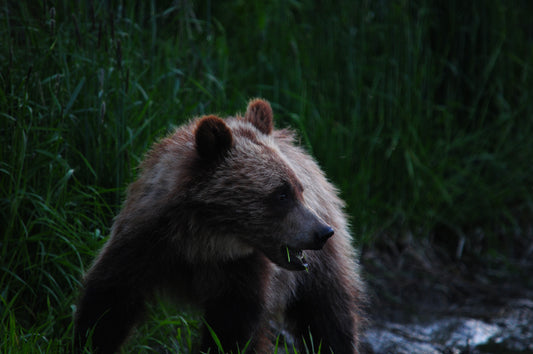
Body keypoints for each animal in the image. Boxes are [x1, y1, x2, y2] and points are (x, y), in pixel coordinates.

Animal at [74, 99, 366, 354]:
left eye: (299, 190)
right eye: (282, 194)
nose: (322, 232)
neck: (202, 242)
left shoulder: (242, 272)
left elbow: (233, 329)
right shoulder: (144, 242)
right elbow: (109, 302)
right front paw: (89, 342)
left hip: (319, 269)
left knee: (328, 314)